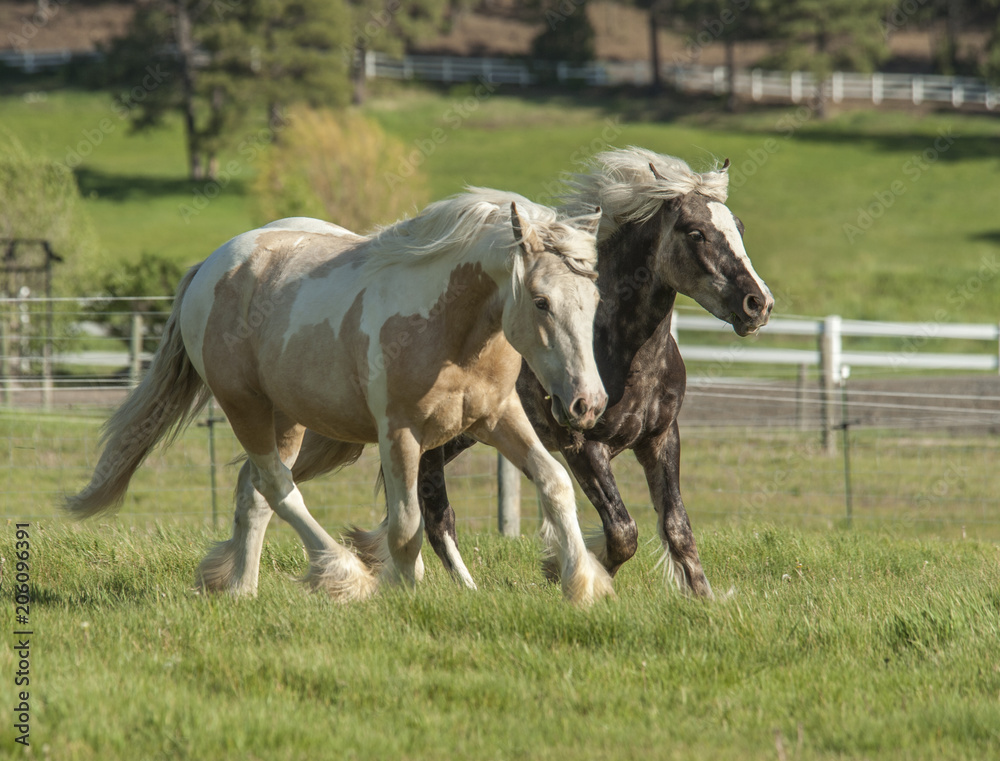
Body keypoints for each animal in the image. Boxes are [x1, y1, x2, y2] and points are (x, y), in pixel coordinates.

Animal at [65, 189, 616, 605]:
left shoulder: (497, 419)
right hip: (245, 406)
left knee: (255, 491)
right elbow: (406, 525)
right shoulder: (399, 433)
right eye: (541, 301)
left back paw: (241, 589)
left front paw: (581, 584)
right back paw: (341, 576)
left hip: (288, 419)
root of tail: (212, 265)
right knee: (278, 487)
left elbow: (554, 482)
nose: (587, 404)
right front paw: (405, 593)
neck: (449, 329)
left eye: (594, 299)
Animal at [288, 147, 773, 599]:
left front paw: (702, 598)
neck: (624, 353)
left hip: (453, 437)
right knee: (434, 512)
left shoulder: (660, 438)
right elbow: (623, 532)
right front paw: (567, 568)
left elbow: (677, 527)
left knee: (423, 509)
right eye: (696, 232)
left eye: (740, 228)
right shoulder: (582, 445)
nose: (758, 303)